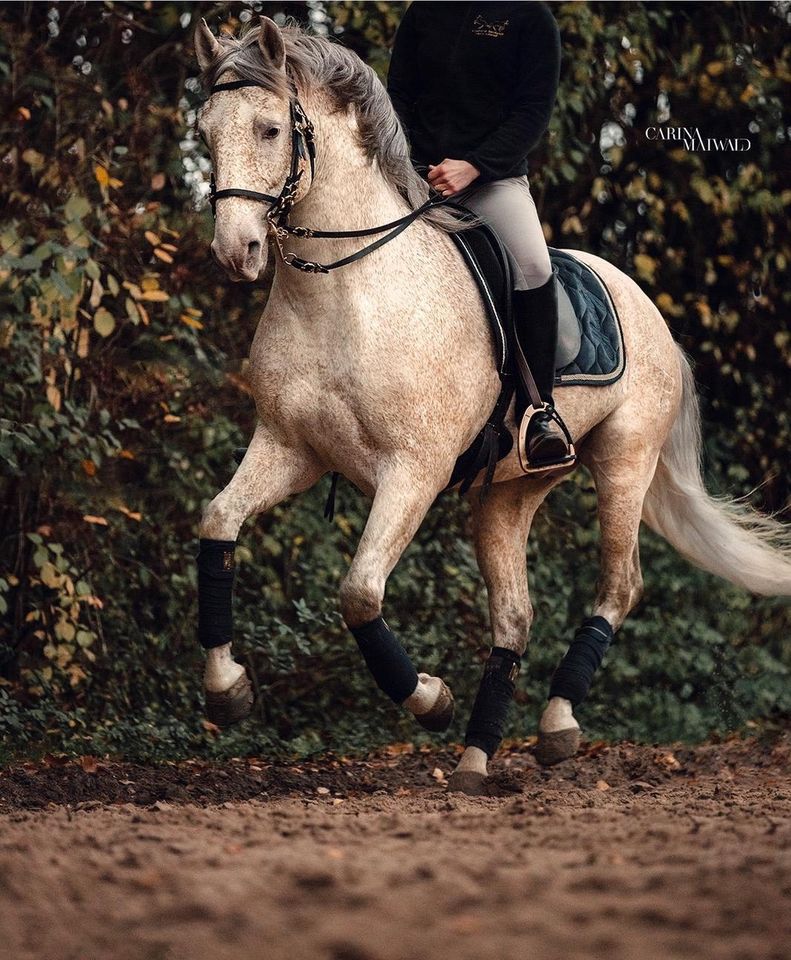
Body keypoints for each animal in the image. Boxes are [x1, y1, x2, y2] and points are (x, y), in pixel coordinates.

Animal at [190, 16, 791, 796]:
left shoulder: (411, 471)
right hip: (509, 493)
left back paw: (555, 725)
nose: (236, 252)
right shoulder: (288, 448)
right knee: (514, 616)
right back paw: (477, 758)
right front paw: (226, 689)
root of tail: (640, 301)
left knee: (618, 585)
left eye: (268, 129)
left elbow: (358, 592)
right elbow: (217, 523)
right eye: (204, 131)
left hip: (624, 461)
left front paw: (428, 699)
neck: (346, 292)